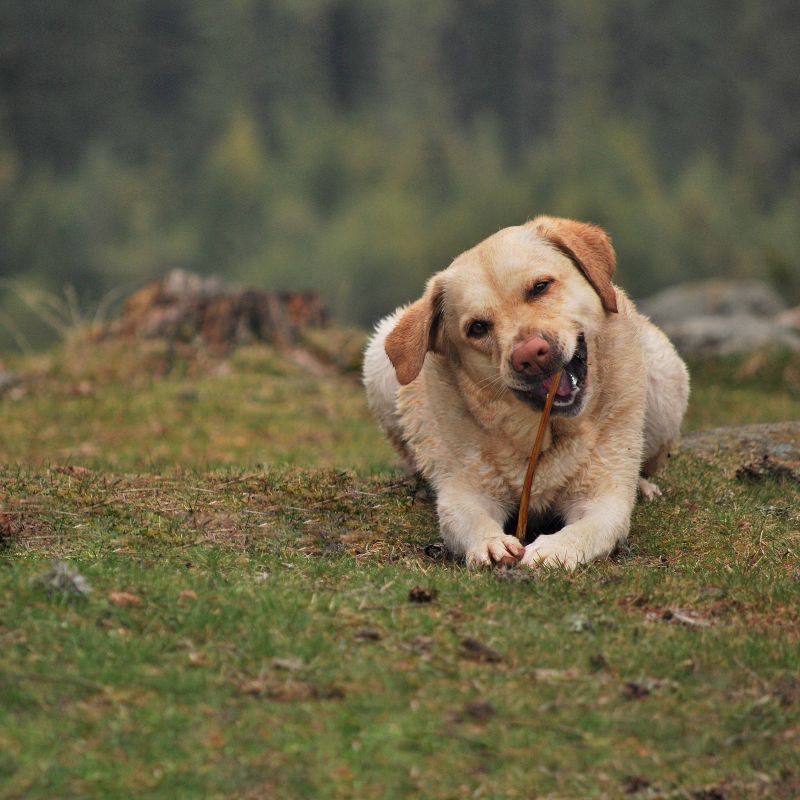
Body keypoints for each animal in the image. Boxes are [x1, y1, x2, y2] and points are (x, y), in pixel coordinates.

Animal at [366, 217, 692, 568]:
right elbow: (470, 519)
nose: (531, 355)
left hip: (664, 379)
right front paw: (490, 544)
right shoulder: (466, 492)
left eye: (540, 287)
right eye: (477, 328)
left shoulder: (602, 498)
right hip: (379, 360)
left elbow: (587, 529)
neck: (543, 432)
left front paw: (555, 549)